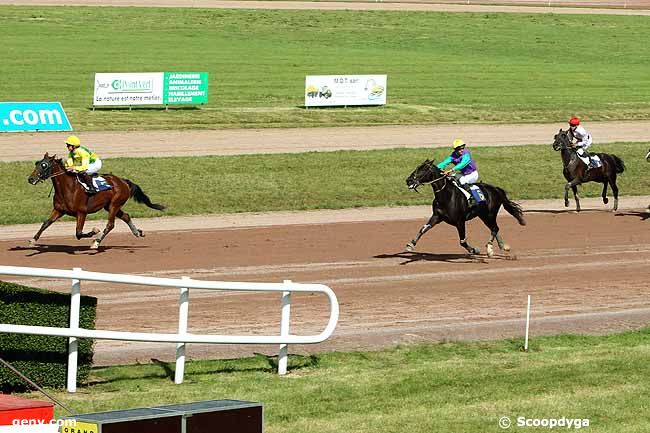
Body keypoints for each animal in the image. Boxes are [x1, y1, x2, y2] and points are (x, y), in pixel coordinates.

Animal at [27, 154, 165, 250]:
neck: (68, 188)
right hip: (109, 206)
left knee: (110, 225)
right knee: (126, 216)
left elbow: (78, 233)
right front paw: (33, 240)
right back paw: (137, 232)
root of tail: (123, 181)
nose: (31, 179)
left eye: (44, 165)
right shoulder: (59, 210)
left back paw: (96, 242)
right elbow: (46, 223)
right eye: (37, 163)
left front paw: (94, 231)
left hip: (114, 204)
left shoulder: (81, 212)